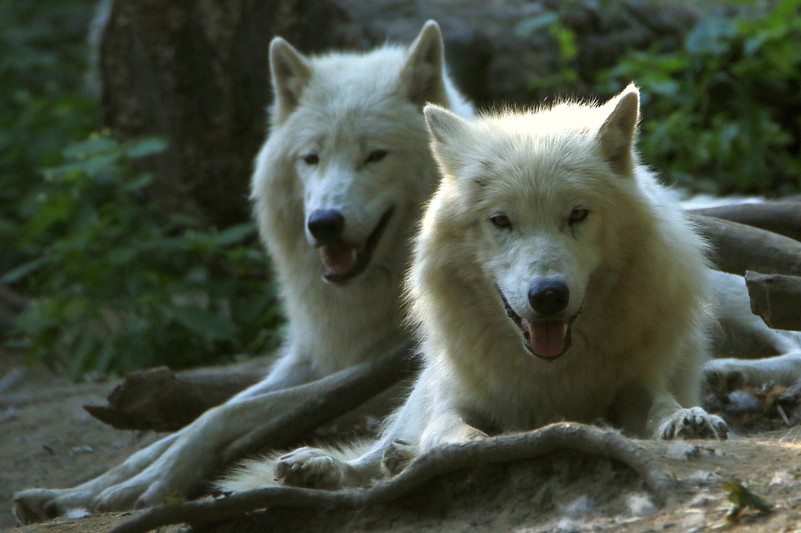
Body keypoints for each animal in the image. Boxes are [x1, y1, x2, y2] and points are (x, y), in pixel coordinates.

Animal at [13, 20, 472, 522]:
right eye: (310, 158)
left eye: (375, 156)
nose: (324, 223)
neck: (369, 295)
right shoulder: (313, 358)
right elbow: (201, 418)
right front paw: (80, 491)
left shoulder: (382, 377)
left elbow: (223, 416)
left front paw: (149, 485)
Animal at [218, 85, 731, 493]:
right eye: (501, 221)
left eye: (578, 215)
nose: (549, 296)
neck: (552, 376)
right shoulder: (457, 399)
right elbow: (452, 431)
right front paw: (462, 449)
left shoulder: (639, 380)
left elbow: (661, 403)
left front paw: (687, 420)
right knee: (374, 455)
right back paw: (328, 465)